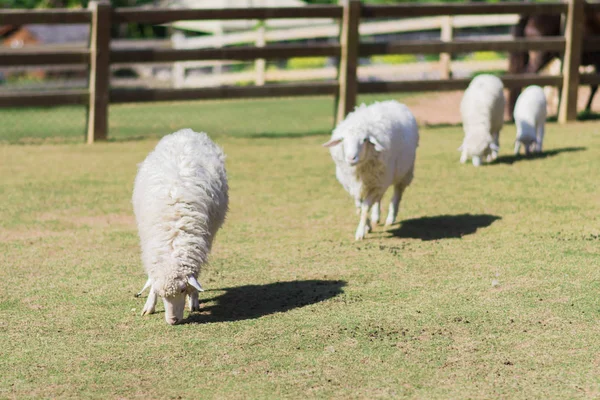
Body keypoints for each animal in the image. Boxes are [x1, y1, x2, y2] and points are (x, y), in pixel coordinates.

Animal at [132, 128, 229, 324]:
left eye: (183, 289)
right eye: (161, 294)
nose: (173, 321)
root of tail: (188, 132)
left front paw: (194, 300)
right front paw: (149, 305)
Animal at [324, 100, 418, 241]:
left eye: (364, 140)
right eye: (343, 140)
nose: (351, 158)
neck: (358, 170)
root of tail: (393, 102)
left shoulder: (374, 184)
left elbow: (365, 208)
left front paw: (360, 232)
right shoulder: (354, 186)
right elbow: (359, 206)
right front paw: (367, 226)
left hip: (403, 172)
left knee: (397, 194)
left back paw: (390, 218)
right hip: (380, 179)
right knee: (379, 198)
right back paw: (376, 217)